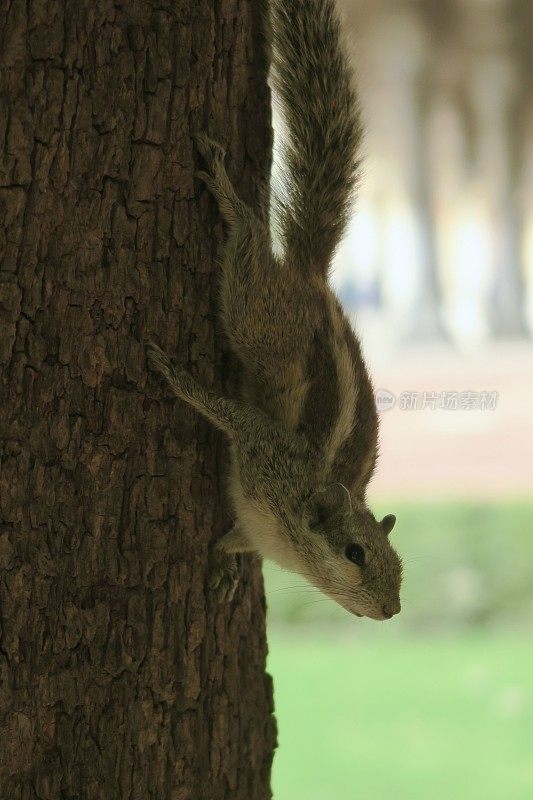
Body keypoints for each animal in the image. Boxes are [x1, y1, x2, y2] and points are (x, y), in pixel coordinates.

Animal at [145, 0, 400, 620]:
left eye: (398, 563)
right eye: (356, 553)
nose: (392, 610)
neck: (290, 538)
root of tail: (311, 278)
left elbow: (232, 541)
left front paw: (222, 568)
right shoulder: (267, 453)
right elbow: (228, 413)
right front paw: (178, 378)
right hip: (259, 318)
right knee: (247, 255)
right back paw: (232, 202)